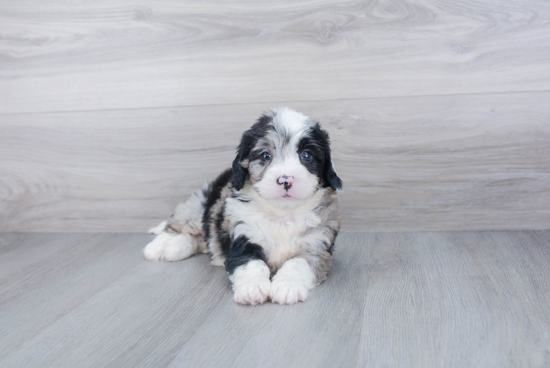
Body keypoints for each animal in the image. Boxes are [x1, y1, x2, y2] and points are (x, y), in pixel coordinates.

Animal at [144, 106, 342, 304]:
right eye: (265, 155)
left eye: (306, 156)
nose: (286, 180)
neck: (282, 213)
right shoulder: (243, 235)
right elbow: (250, 263)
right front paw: (253, 288)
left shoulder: (318, 245)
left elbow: (299, 263)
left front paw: (287, 287)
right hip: (198, 204)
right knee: (181, 225)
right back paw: (163, 245)